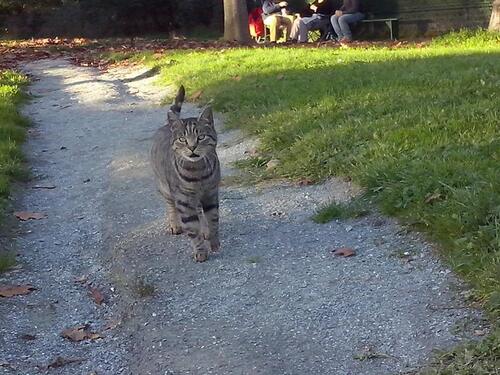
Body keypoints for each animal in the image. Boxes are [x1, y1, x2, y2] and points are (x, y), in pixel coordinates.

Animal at [150, 85, 221, 262]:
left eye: (201, 137)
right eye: (183, 139)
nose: (192, 147)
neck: (198, 173)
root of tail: (167, 125)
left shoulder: (211, 194)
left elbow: (213, 219)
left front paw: (214, 241)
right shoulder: (184, 201)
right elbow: (192, 229)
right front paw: (200, 251)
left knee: (200, 212)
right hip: (165, 188)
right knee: (170, 205)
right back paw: (175, 225)